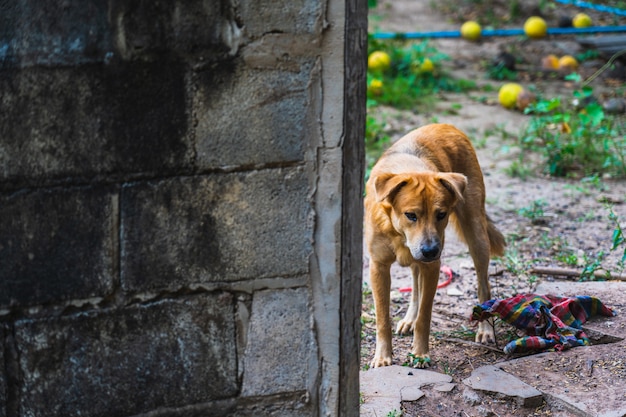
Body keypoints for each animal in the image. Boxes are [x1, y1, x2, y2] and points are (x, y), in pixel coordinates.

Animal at [364, 122, 504, 368]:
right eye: (411, 215)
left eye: (441, 214)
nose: (430, 251)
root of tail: (447, 125)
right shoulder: (378, 267)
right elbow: (382, 318)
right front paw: (382, 357)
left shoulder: (432, 267)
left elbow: (425, 316)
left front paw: (420, 354)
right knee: (415, 283)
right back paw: (409, 318)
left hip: (477, 236)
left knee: (483, 285)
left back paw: (486, 329)